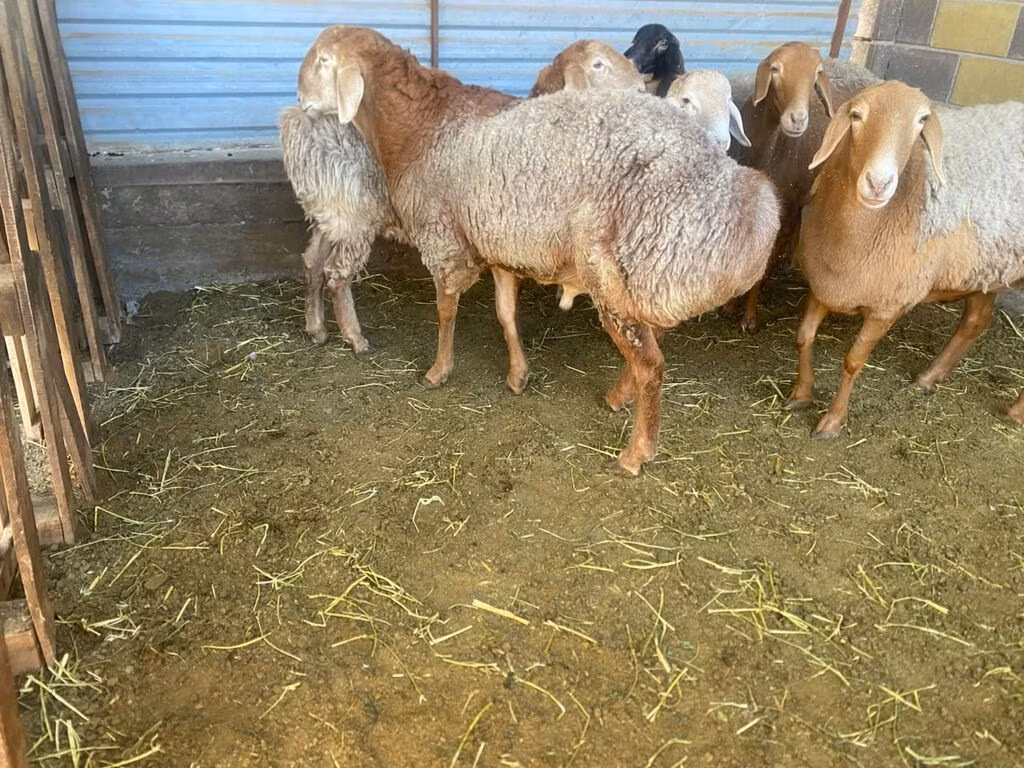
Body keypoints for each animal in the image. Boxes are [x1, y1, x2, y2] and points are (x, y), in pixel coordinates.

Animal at [278, 105, 404, 352]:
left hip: (331, 214)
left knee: (314, 263)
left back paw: (317, 329)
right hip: (353, 214)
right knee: (337, 276)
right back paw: (355, 338)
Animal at [298, 26, 780, 475]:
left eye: (323, 60)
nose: (300, 97)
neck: (417, 125)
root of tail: (729, 188)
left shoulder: (444, 237)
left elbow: (446, 311)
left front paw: (438, 371)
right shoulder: (498, 244)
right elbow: (506, 314)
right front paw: (517, 375)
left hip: (618, 268)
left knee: (651, 364)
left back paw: (635, 452)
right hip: (637, 273)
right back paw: (617, 397)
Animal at [730, 43, 881, 332]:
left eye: (816, 74)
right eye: (775, 69)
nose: (798, 119)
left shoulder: (785, 208)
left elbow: (765, 263)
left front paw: (749, 316)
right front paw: (731, 303)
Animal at [785, 80, 1024, 437]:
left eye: (922, 120)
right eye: (856, 115)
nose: (879, 183)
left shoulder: (888, 306)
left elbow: (853, 361)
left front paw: (833, 421)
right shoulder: (824, 283)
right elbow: (804, 337)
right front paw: (801, 393)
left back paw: (1016, 412)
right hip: (986, 268)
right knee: (975, 320)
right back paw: (929, 378)